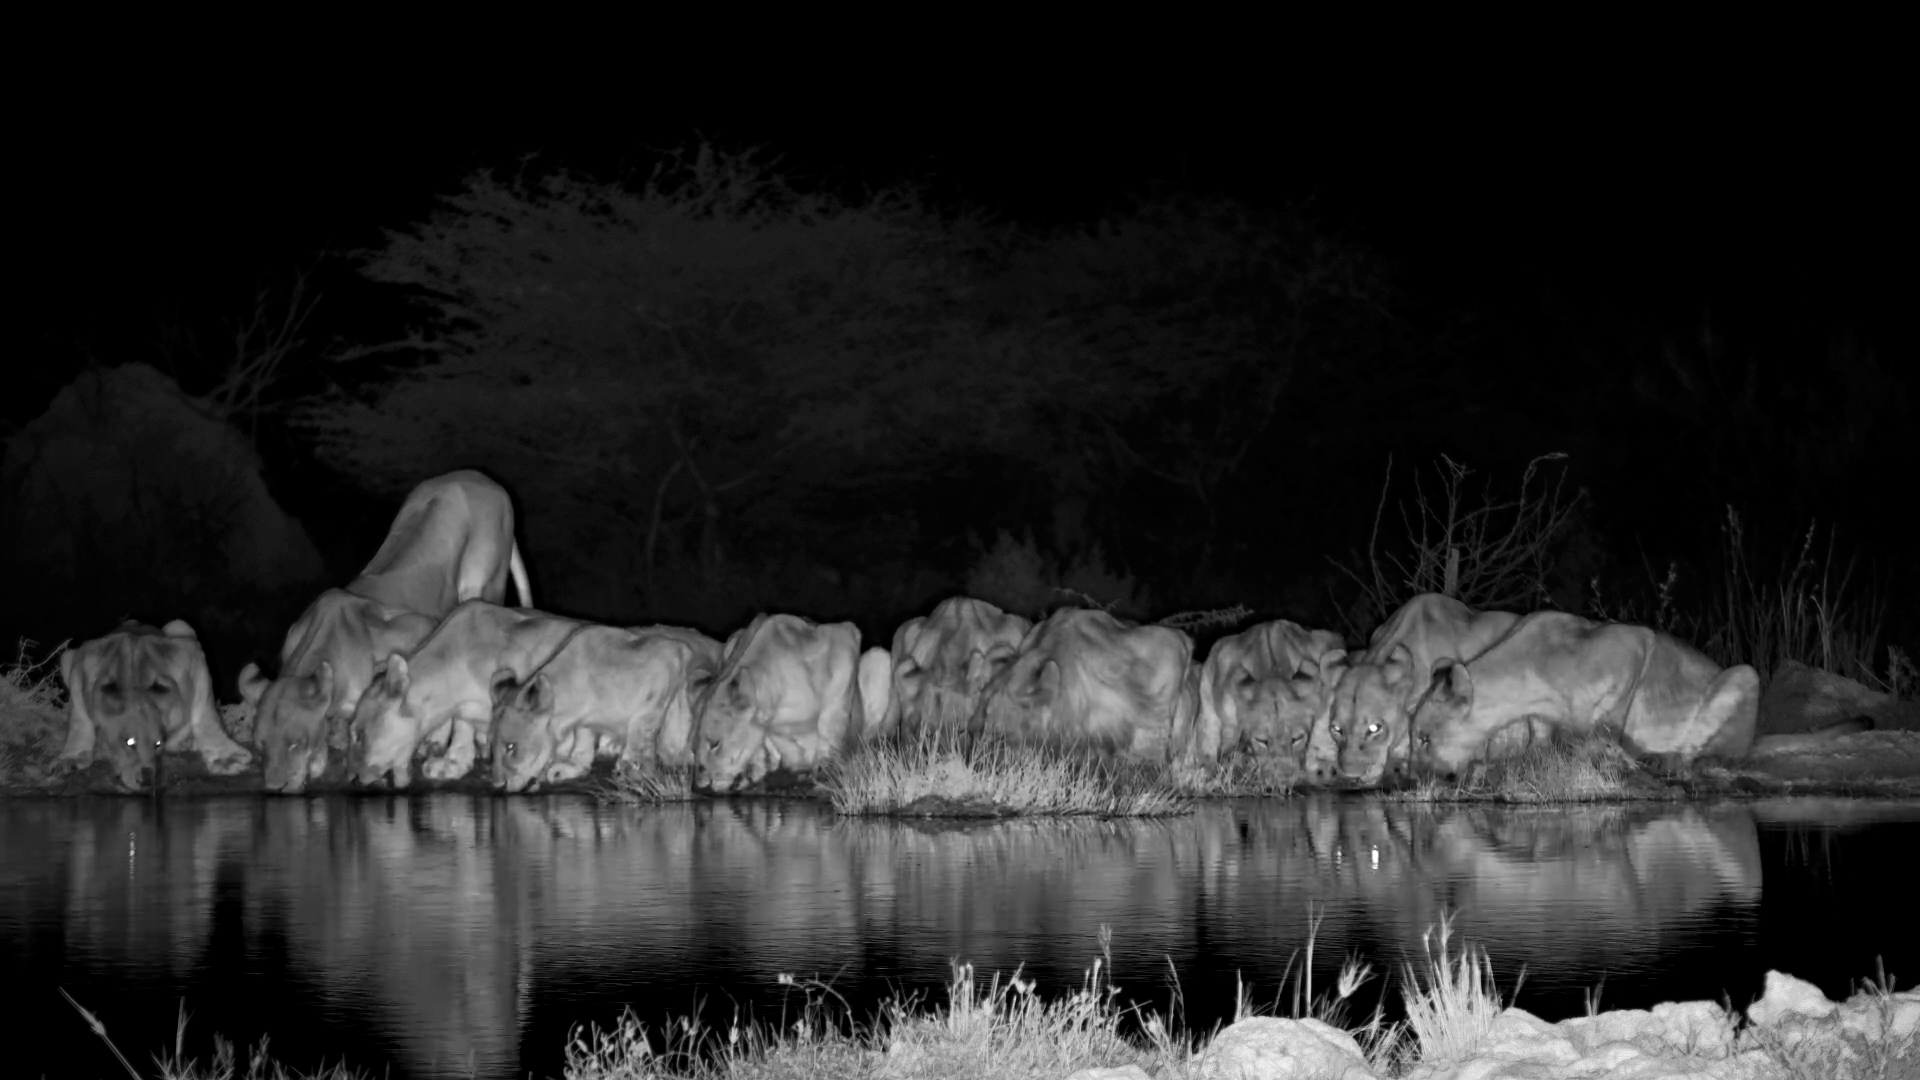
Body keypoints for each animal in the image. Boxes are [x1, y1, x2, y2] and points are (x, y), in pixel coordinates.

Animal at [57, 620, 252, 789]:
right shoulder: (82, 657)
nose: (146, 779)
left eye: (157, 743)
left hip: (180, 625)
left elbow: (205, 712)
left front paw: (228, 757)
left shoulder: (190, 654)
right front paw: (71, 756)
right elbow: (78, 716)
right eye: (129, 742)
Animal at [491, 624, 724, 792]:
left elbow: (643, 726)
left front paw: (632, 770)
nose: (497, 786)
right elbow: (582, 745)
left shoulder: (671, 656)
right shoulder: (585, 723)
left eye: (510, 747)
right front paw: (570, 769)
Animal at [693, 613, 865, 793]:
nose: (699, 787)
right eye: (693, 748)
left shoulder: (846, 641)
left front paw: (825, 773)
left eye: (715, 744)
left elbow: (830, 723)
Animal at [1408, 611, 1760, 778]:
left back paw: (1666, 759)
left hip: (1747, 674)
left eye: (1425, 738)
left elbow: (1610, 723)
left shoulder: (1635, 642)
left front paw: (1611, 755)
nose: (1410, 776)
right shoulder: (1540, 715)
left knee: (1715, 752)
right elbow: (1538, 736)